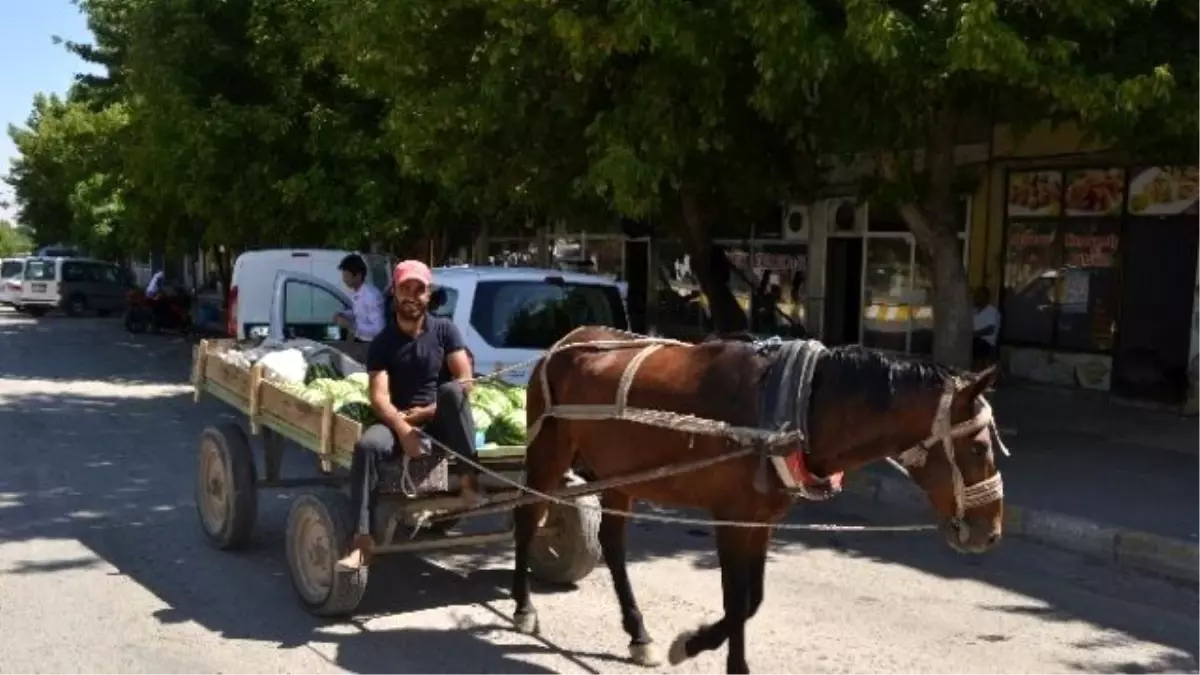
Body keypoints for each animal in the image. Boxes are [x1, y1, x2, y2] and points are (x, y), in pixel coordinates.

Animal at [511, 324, 1008, 667]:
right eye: (978, 447)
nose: (991, 532)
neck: (797, 407)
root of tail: (564, 342)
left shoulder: (761, 520)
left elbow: (752, 601)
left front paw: (690, 643)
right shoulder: (730, 518)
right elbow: (736, 602)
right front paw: (694, 647)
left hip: (619, 475)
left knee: (612, 544)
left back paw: (639, 634)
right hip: (548, 452)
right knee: (527, 517)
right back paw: (523, 608)